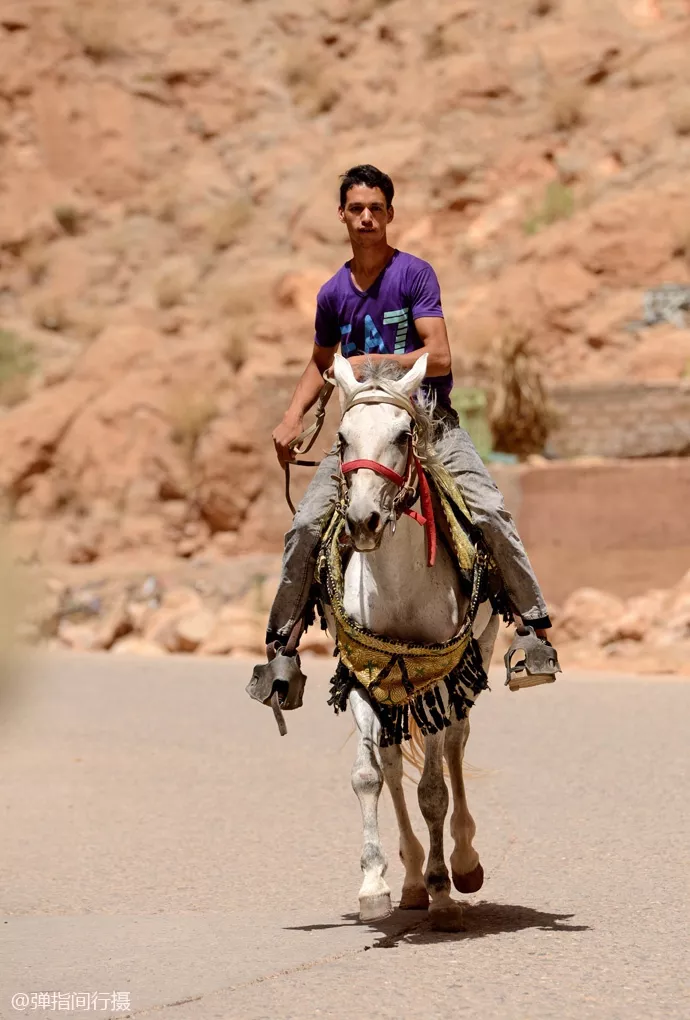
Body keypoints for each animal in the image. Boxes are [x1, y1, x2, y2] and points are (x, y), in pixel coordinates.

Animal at [325, 352, 500, 933]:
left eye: (403, 435)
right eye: (341, 438)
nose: (363, 521)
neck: (398, 586)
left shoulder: (441, 678)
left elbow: (433, 791)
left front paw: (445, 892)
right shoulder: (364, 675)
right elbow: (367, 776)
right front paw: (376, 884)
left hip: (477, 655)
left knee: (456, 744)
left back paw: (462, 864)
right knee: (392, 758)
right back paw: (411, 881)